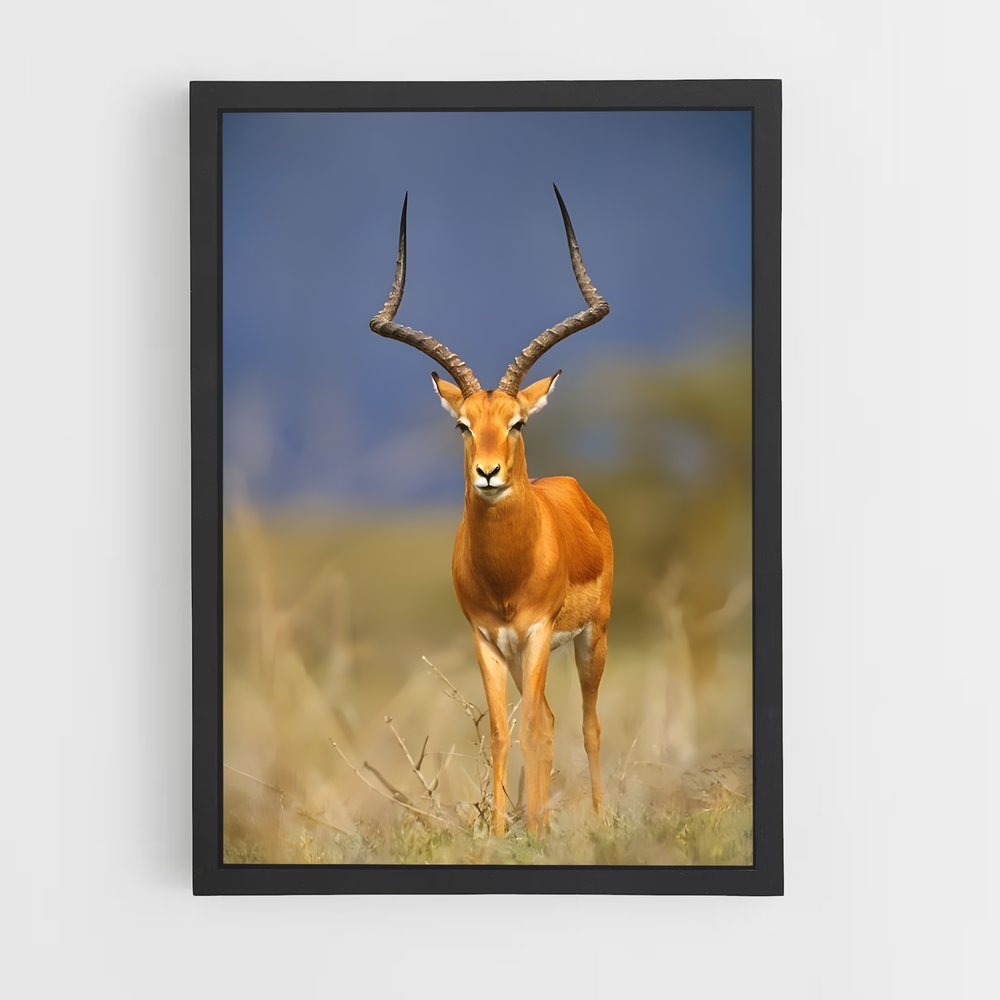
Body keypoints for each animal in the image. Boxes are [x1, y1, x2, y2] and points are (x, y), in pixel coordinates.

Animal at [368, 186, 613, 835]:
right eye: (462, 425)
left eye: (517, 422)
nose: (488, 473)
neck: (507, 571)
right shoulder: (485, 637)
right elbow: (505, 732)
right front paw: (504, 832)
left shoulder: (535, 632)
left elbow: (534, 731)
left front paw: (533, 831)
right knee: (546, 718)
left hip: (591, 637)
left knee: (586, 723)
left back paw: (598, 822)